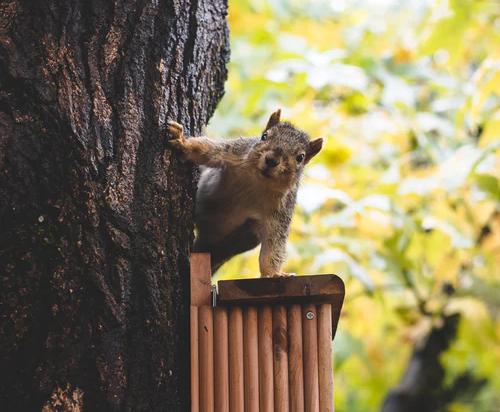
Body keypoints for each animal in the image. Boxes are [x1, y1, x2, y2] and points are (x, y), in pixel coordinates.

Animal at [167, 109, 324, 276]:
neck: (257, 182)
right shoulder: (234, 152)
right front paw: (182, 141)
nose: (271, 160)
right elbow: (206, 150)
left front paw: (273, 274)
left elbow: (274, 245)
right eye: (264, 136)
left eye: (300, 157)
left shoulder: (280, 213)